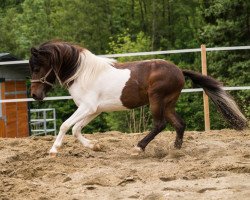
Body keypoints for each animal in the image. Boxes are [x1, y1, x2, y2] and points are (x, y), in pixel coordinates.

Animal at [29, 41, 248, 156]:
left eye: (37, 67)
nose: (34, 95)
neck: (83, 74)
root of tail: (179, 71)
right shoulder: (94, 110)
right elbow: (75, 129)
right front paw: (96, 146)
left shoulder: (87, 108)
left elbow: (66, 125)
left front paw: (53, 150)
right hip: (168, 103)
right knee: (179, 124)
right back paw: (175, 150)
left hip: (157, 100)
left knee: (160, 124)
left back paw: (139, 147)